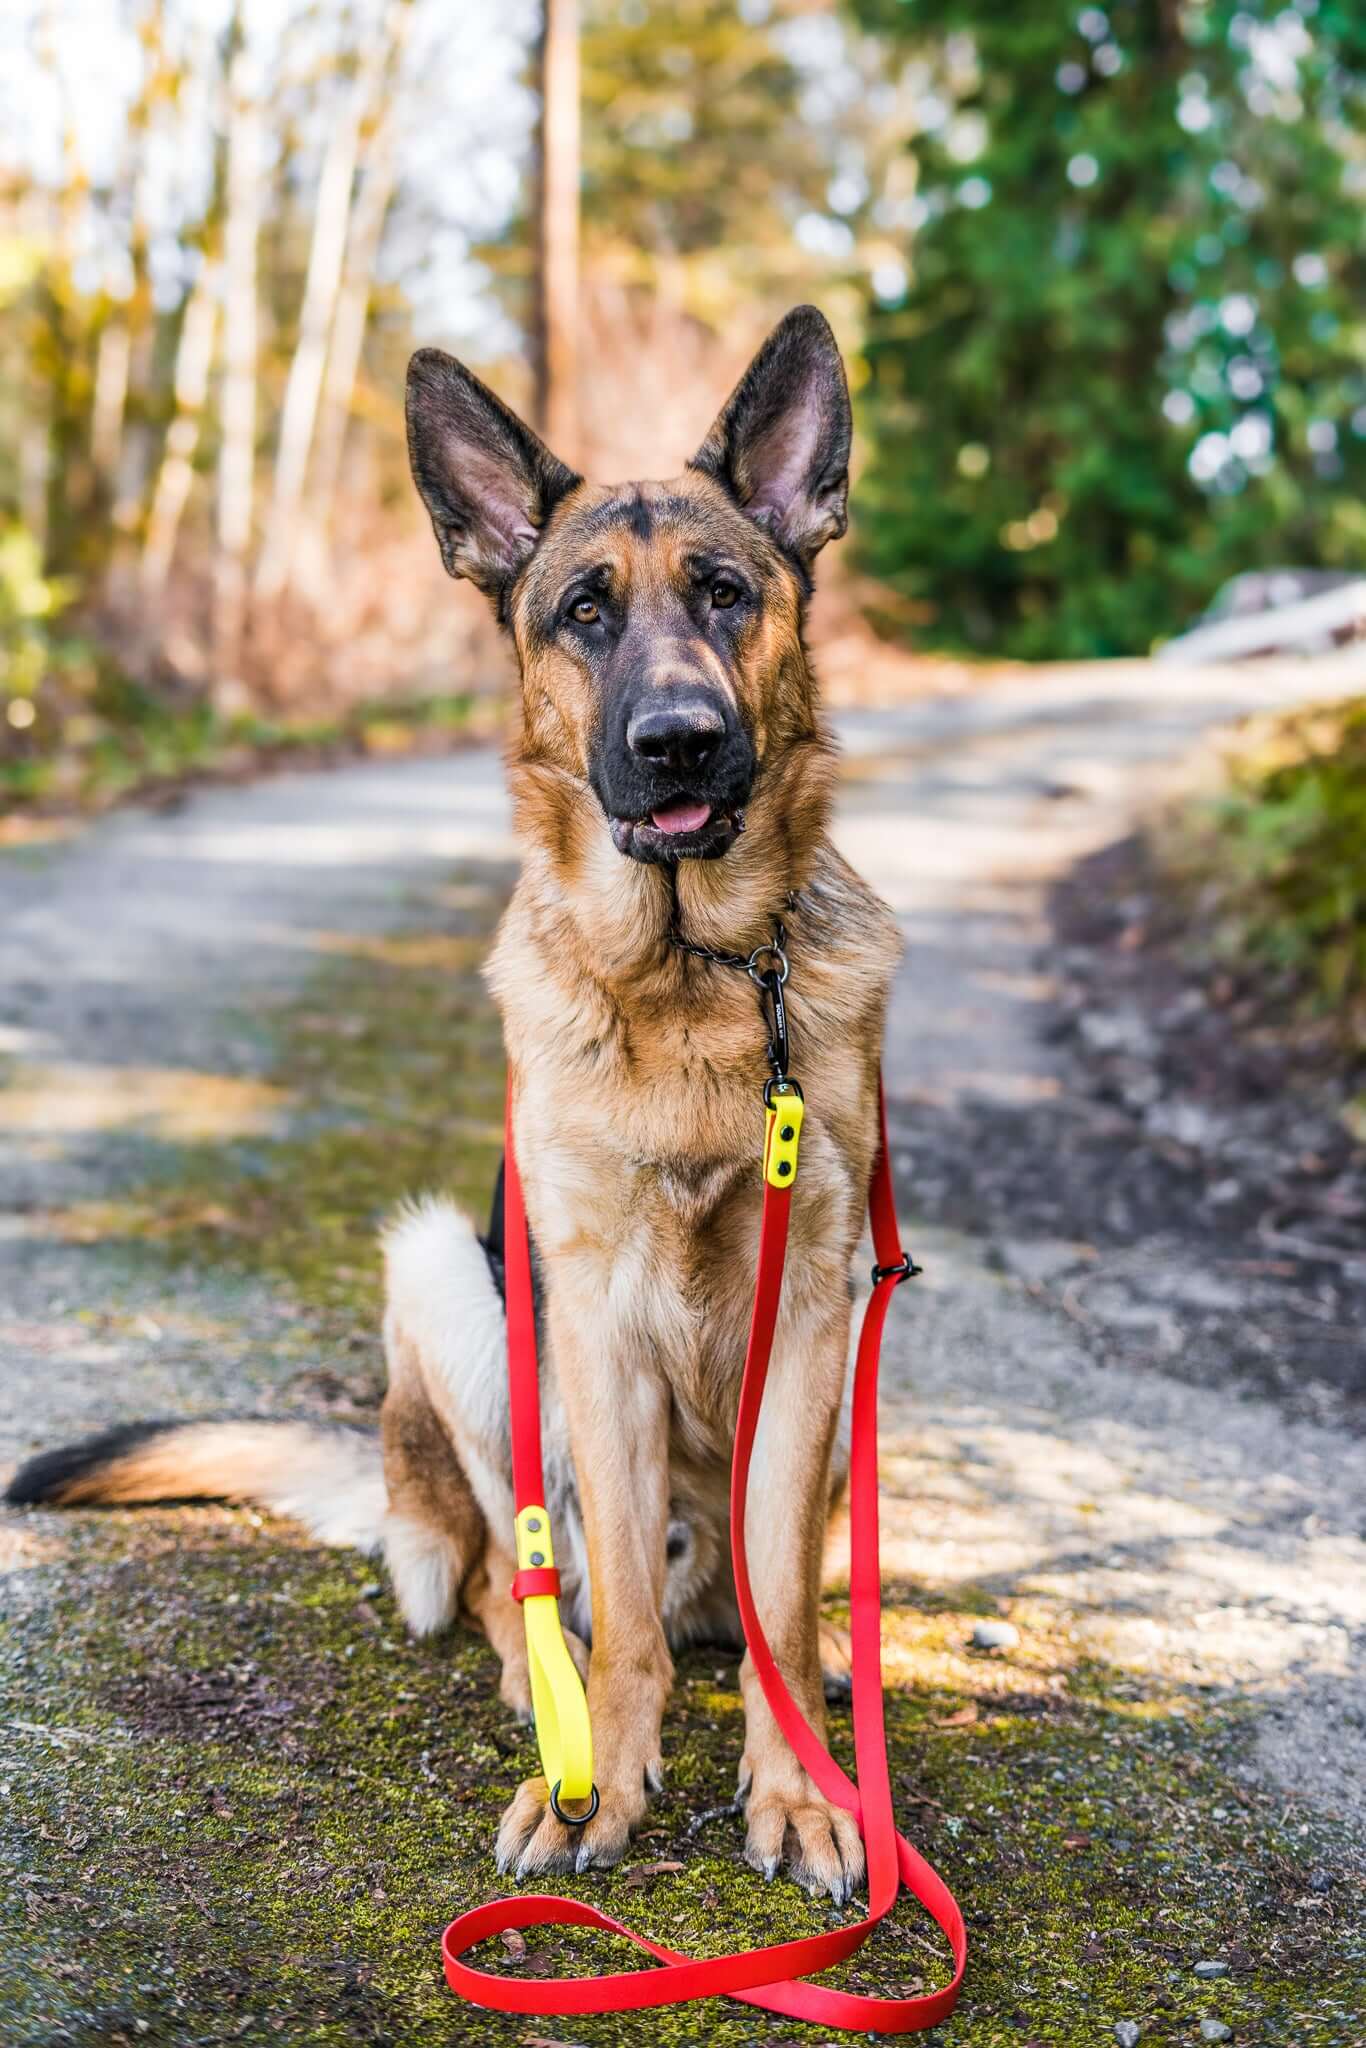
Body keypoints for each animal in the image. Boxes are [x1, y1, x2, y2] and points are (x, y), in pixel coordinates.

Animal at [15, 303, 909, 1900]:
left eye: (728, 593)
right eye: (585, 614)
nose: (679, 741)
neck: (692, 967)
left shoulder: (814, 1311)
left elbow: (789, 1604)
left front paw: (801, 1791)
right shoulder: (594, 1316)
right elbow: (612, 1614)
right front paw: (595, 1777)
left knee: (737, 1598)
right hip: (451, 1281)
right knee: (517, 1577)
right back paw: (539, 1680)